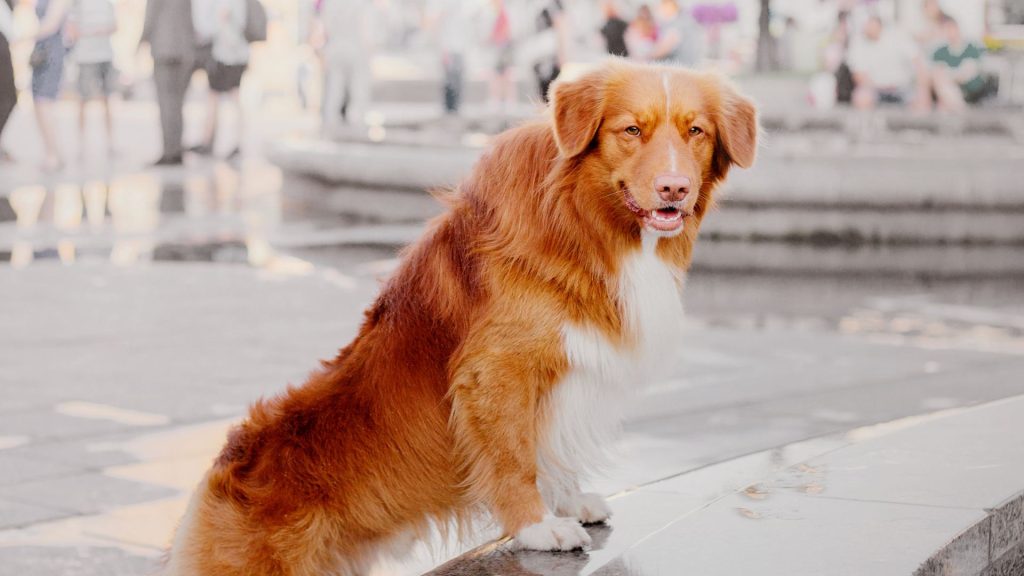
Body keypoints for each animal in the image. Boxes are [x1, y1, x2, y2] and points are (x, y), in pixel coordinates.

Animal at [163, 60, 757, 569]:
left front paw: (568, 500)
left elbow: (548, 443)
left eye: (696, 131)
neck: (582, 223)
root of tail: (222, 468)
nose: (674, 188)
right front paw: (538, 527)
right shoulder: (497, 370)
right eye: (631, 129)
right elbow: (516, 454)